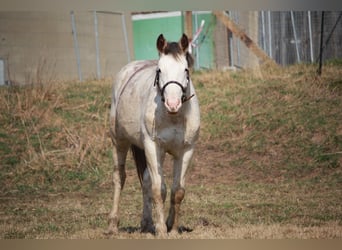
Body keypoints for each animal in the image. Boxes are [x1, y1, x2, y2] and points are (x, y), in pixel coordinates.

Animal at [105, 34, 199, 237]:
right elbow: (159, 190)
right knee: (119, 177)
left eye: (185, 69)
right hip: (120, 142)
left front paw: (173, 228)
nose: (173, 103)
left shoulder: (186, 151)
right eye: (159, 70)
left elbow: (177, 191)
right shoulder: (153, 147)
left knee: (146, 180)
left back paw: (147, 223)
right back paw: (113, 225)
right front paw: (162, 230)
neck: (173, 117)